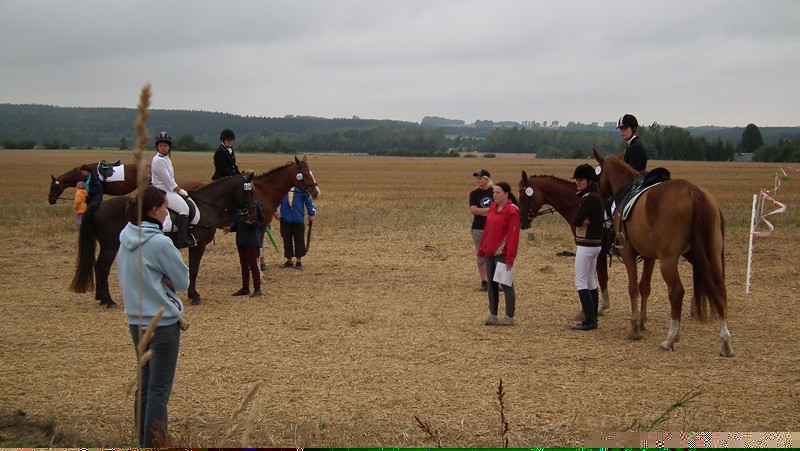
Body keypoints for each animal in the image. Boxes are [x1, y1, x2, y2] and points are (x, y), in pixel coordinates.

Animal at [69, 172, 257, 307]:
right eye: (249, 192)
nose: (252, 215)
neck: (207, 205)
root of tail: (100, 204)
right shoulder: (198, 245)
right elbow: (193, 269)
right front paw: (194, 296)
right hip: (111, 245)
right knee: (102, 267)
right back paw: (108, 300)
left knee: (97, 266)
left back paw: (101, 298)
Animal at [592, 149, 733, 356]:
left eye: (597, 176)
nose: (599, 196)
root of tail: (694, 191)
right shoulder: (650, 256)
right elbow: (644, 287)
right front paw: (642, 322)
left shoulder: (628, 253)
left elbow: (633, 287)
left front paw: (634, 327)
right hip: (710, 254)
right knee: (719, 289)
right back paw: (725, 342)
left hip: (669, 260)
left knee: (676, 292)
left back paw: (670, 339)